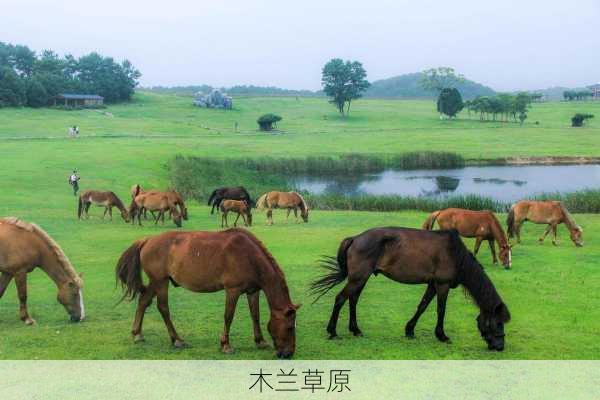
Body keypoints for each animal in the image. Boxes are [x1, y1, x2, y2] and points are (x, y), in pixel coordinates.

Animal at [115, 228, 300, 360]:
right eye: (290, 327)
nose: (288, 354)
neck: (249, 256)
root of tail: (148, 240)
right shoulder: (232, 290)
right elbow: (228, 316)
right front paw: (225, 345)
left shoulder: (253, 291)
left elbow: (255, 315)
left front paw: (260, 341)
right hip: (160, 282)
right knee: (163, 308)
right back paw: (177, 340)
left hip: (157, 282)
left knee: (143, 301)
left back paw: (137, 334)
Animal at [310, 227, 510, 352]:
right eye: (498, 323)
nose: (500, 347)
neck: (455, 254)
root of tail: (354, 239)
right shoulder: (442, 285)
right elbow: (441, 310)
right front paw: (442, 335)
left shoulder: (433, 284)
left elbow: (422, 306)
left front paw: (410, 330)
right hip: (358, 278)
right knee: (340, 299)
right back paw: (333, 331)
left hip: (361, 278)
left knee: (353, 299)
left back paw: (356, 330)